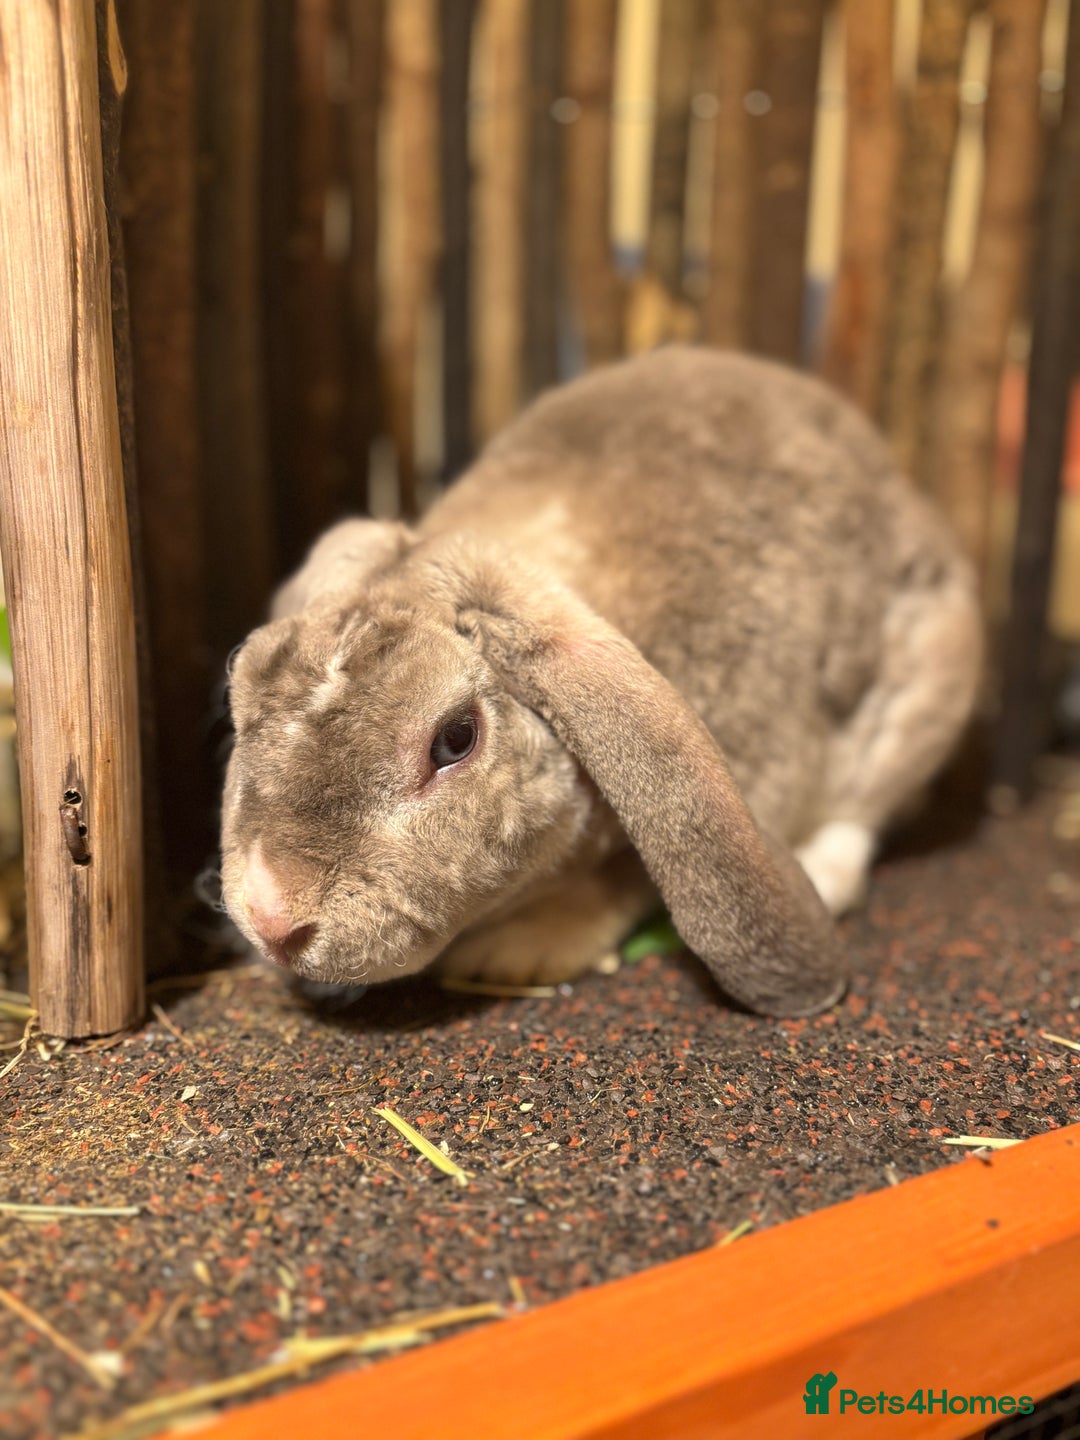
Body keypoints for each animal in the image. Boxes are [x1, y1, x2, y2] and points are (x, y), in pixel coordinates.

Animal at [219, 346, 982, 1017]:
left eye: (455, 739)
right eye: (239, 691)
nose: (272, 919)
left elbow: (630, 877)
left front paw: (514, 952)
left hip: (924, 690)